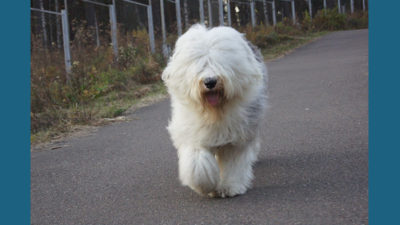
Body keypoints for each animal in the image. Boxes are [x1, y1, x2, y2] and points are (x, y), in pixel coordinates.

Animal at [161, 24, 268, 197]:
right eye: (199, 65)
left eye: (220, 63)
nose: (210, 82)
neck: (215, 113)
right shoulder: (194, 133)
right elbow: (198, 162)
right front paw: (205, 186)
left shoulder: (236, 138)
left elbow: (233, 164)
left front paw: (230, 187)